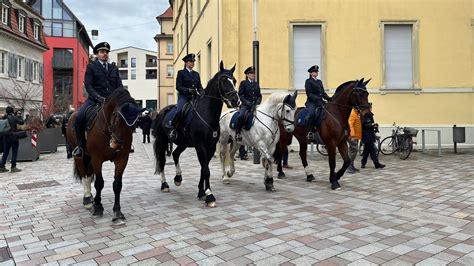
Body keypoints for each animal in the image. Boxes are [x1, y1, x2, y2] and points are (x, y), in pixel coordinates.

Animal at [66, 89, 144, 224]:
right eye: (117, 117)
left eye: (134, 124)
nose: (118, 144)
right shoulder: (97, 159)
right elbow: (99, 183)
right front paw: (98, 207)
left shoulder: (122, 159)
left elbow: (117, 185)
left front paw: (117, 212)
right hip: (80, 156)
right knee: (84, 175)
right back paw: (87, 198)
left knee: (89, 174)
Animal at [153, 61, 241, 208]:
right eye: (223, 80)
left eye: (234, 80)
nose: (236, 101)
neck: (207, 114)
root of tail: (163, 111)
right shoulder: (200, 146)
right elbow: (206, 170)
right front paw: (209, 196)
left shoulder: (210, 147)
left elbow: (203, 169)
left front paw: (201, 192)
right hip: (162, 140)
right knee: (162, 160)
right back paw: (164, 184)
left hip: (183, 142)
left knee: (175, 154)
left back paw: (178, 178)